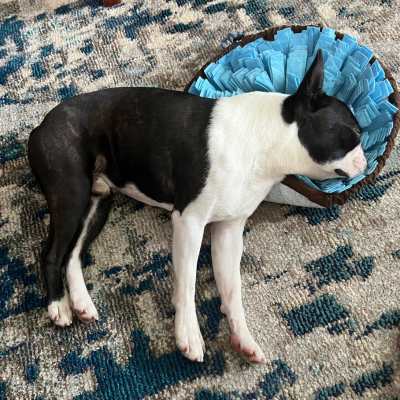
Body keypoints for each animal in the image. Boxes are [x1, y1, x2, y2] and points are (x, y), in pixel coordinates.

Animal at [28, 50, 366, 362]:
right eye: (353, 133)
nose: (363, 161)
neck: (264, 143)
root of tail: (40, 125)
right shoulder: (189, 221)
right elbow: (187, 281)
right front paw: (188, 334)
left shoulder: (228, 230)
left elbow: (232, 289)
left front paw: (243, 338)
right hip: (70, 191)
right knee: (52, 253)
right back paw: (58, 305)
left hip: (97, 203)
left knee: (72, 253)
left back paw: (82, 303)